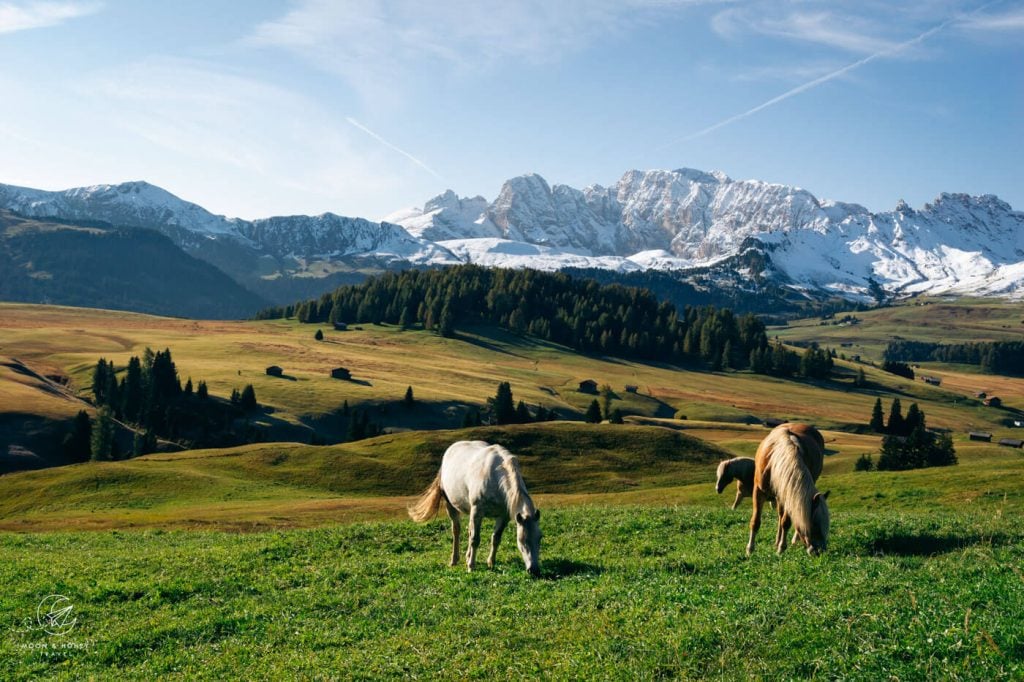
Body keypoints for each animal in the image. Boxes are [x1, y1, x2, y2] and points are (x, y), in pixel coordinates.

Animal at [405, 440, 544, 573]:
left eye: (540, 538)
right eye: (522, 540)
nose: (534, 570)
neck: (496, 477)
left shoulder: (503, 516)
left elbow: (496, 538)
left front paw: (491, 563)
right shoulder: (478, 511)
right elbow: (475, 539)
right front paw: (471, 566)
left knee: (469, 530)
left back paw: (467, 556)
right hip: (451, 506)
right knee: (456, 531)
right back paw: (454, 560)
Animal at [745, 421, 831, 557]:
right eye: (816, 525)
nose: (820, 552)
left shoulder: (791, 494)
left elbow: (786, 522)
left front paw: (781, 548)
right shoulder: (759, 491)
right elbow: (756, 521)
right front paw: (750, 549)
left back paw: (791, 540)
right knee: (780, 515)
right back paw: (777, 541)